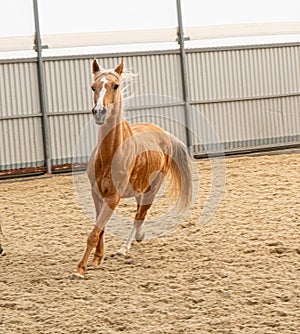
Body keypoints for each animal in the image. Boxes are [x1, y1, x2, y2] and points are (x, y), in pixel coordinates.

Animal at [70, 59, 192, 280]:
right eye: (93, 86)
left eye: (115, 85)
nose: (99, 112)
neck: (109, 154)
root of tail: (165, 134)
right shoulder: (96, 193)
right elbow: (100, 228)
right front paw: (96, 259)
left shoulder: (113, 197)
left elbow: (94, 232)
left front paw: (79, 270)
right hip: (139, 190)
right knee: (139, 212)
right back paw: (139, 237)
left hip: (152, 189)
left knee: (139, 215)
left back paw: (124, 248)